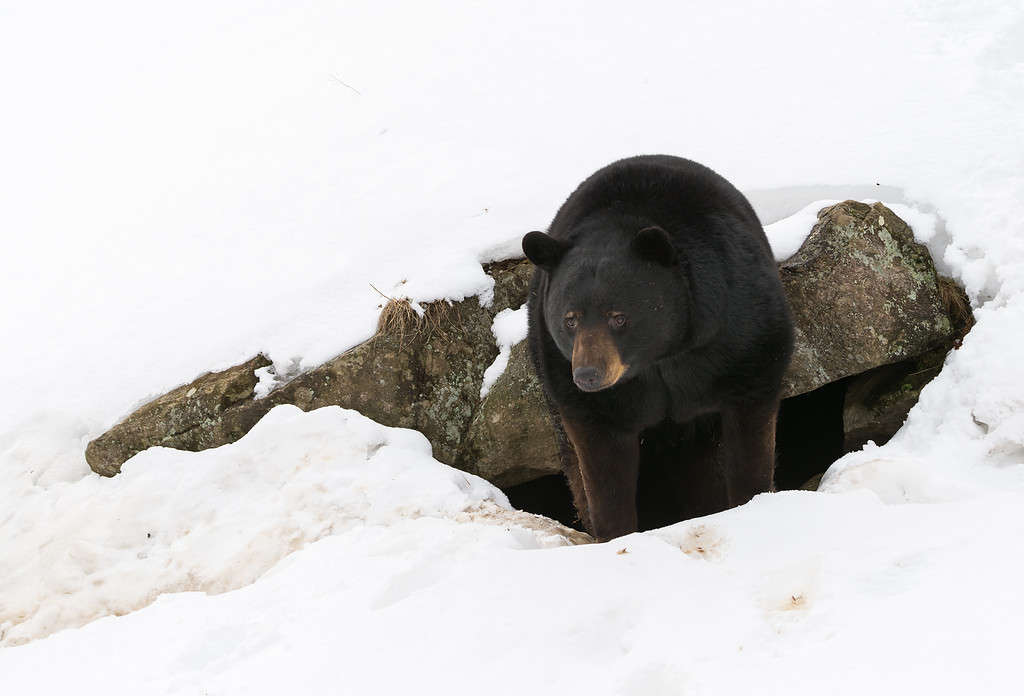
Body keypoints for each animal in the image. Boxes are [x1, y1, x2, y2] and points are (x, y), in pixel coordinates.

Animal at [522, 155, 794, 541]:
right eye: (570, 319)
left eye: (618, 317)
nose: (588, 374)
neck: (659, 359)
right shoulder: (572, 379)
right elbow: (602, 460)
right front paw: (615, 532)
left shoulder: (738, 331)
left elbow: (750, 417)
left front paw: (753, 504)